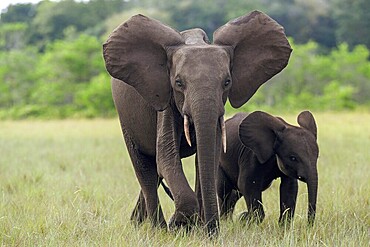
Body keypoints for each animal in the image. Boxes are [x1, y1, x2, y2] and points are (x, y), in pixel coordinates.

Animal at [103, 10, 292, 234]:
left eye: (227, 82)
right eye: (178, 83)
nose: (212, 231)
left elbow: (208, 155)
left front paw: (200, 230)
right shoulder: (166, 101)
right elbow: (166, 157)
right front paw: (179, 225)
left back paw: (138, 223)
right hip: (126, 118)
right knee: (145, 169)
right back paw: (158, 229)